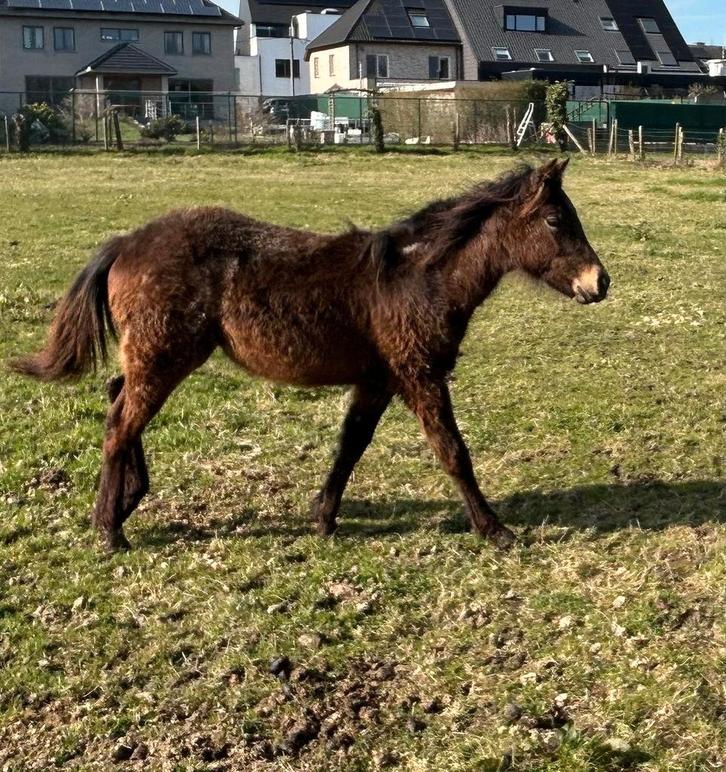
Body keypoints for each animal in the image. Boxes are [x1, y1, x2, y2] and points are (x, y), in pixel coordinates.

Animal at [10, 158, 610, 553]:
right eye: (555, 220)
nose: (599, 282)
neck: (415, 277)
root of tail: (125, 243)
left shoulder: (379, 379)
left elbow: (350, 446)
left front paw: (323, 518)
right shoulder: (419, 374)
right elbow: (453, 452)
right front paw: (495, 529)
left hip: (154, 355)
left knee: (117, 401)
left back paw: (127, 500)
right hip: (165, 355)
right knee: (120, 423)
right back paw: (111, 530)